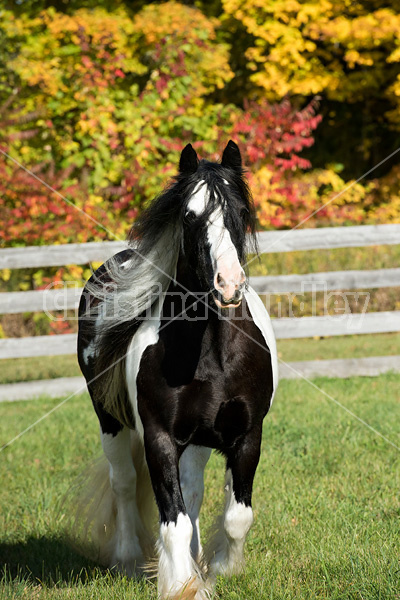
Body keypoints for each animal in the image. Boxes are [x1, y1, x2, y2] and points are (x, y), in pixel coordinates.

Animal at [78, 142, 278, 600]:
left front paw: (221, 569)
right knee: (123, 481)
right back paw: (130, 559)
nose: (228, 285)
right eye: (189, 215)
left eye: (241, 211)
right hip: (109, 421)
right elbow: (174, 520)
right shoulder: (160, 438)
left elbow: (236, 515)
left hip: (199, 439)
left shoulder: (247, 434)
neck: (211, 354)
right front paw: (183, 583)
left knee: (194, 489)